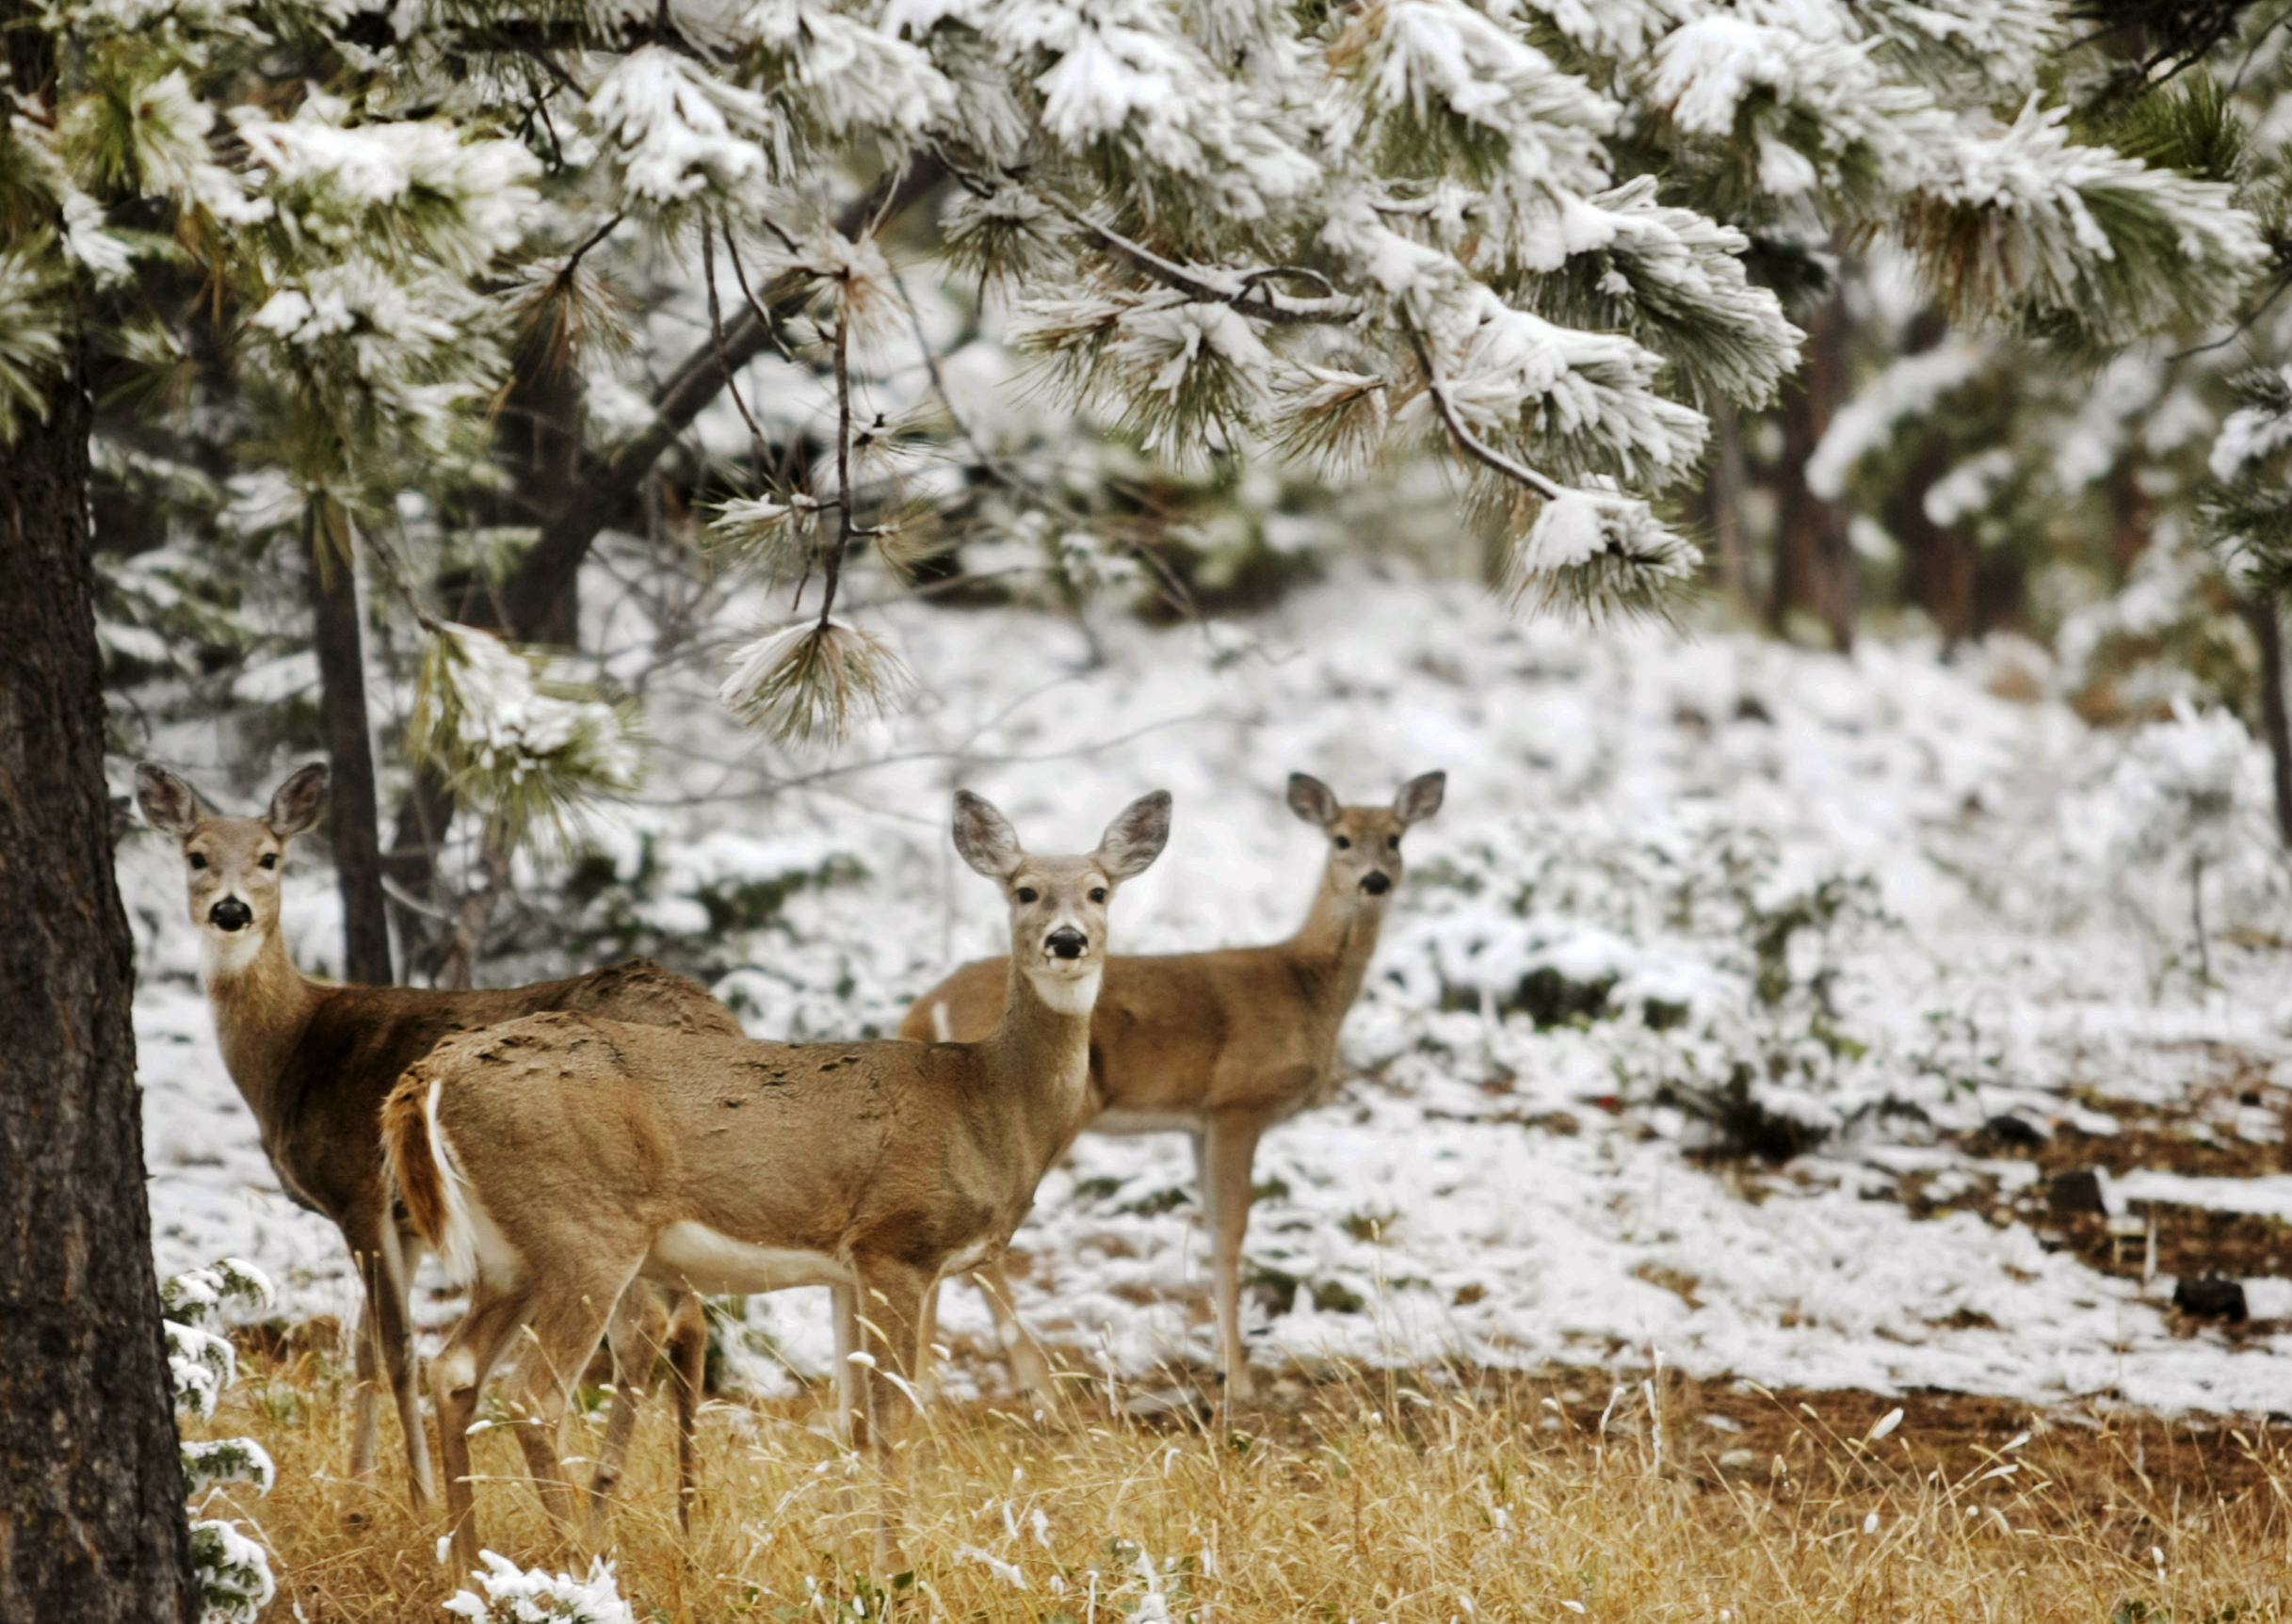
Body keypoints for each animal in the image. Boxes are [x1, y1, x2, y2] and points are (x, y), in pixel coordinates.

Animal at [134, 760, 737, 1520]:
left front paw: (417, 1499)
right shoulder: (406, 1222)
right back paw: (685, 1509)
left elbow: (396, 1347)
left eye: (270, 857)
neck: (293, 1048)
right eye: (196, 856)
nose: (232, 910)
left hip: (598, 1193)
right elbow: (364, 1349)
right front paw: (358, 1498)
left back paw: (601, 1503)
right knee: (690, 1324)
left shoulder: (357, 1190)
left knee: (640, 1330)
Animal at [384, 783, 1173, 1567]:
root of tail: (433, 1072)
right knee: (534, 1395)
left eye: (1100, 891)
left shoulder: (850, 1269)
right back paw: (575, 1556)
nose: (1066, 939)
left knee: (454, 1371)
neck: (987, 1101)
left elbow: (855, 1420)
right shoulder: (897, 1242)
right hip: (583, 1229)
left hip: (509, 1252)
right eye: (1024, 889)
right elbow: (895, 1418)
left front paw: (856, 1560)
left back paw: (466, 1559)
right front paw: (895, 1566)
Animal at [902, 764, 1439, 1401]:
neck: (1302, 985)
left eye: (1396, 839)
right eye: (1341, 839)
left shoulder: (1198, 1122)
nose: (1374, 881)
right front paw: (1239, 1381)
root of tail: (926, 1008)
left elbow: (1209, 1225)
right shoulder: (1238, 1103)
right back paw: (1028, 1384)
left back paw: (927, 1385)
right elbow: (1231, 1232)